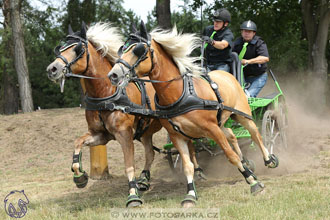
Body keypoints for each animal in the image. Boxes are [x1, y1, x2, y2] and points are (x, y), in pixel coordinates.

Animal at [107, 22, 278, 208]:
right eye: (122, 49)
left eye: (138, 50)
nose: (113, 75)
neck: (179, 93)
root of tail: (228, 74)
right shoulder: (177, 135)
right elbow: (187, 165)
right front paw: (190, 195)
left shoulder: (211, 128)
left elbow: (230, 155)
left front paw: (254, 184)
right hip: (222, 123)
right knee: (232, 135)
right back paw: (246, 162)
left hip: (241, 115)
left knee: (255, 134)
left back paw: (269, 159)